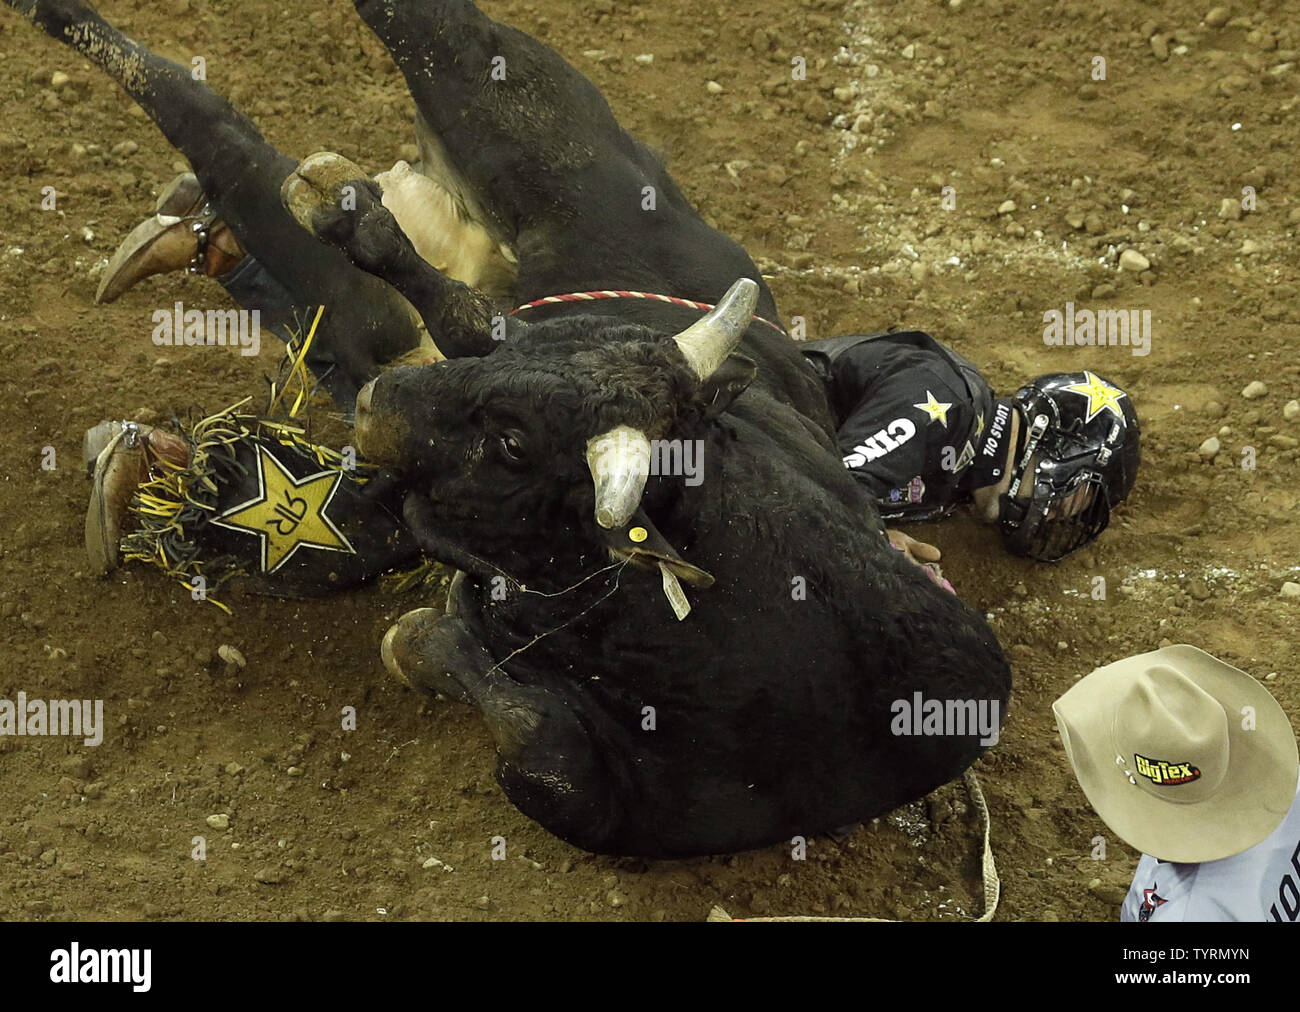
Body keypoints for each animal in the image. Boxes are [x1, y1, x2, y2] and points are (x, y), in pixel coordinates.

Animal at [7, 0, 1011, 858]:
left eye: (515, 448)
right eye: (557, 351)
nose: (378, 407)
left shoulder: (591, 789)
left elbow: (498, 703)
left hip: (389, 262)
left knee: (215, 131)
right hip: (488, 102)